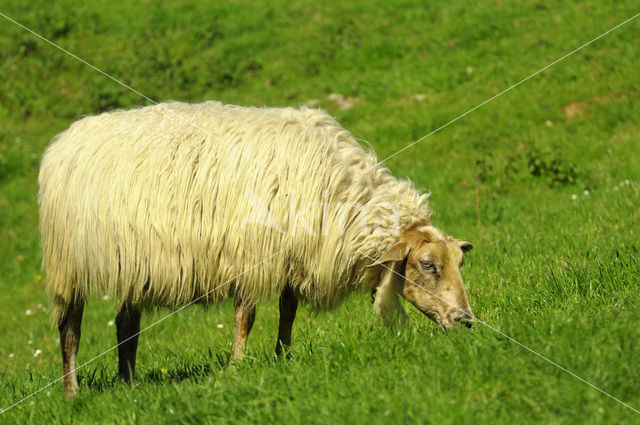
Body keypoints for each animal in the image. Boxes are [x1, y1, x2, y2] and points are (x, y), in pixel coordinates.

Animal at [37, 101, 472, 396]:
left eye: (460, 262)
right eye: (428, 265)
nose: (466, 322)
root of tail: (66, 138)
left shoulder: (291, 254)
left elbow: (288, 309)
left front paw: (283, 357)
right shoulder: (249, 253)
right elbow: (245, 316)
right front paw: (237, 367)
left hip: (133, 262)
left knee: (127, 323)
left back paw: (129, 385)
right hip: (67, 263)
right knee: (70, 327)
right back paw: (72, 392)